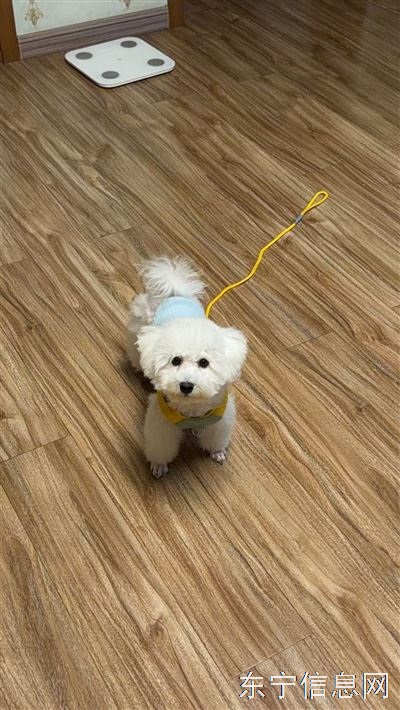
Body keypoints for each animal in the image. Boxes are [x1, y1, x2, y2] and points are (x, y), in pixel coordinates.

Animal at [127, 257, 247, 478]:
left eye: (204, 362)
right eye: (175, 360)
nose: (186, 385)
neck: (193, 410)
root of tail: (174, 293)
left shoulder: (220, 419)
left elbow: (216, 438)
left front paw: (217, 452)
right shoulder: (161, 421)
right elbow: (161, 446)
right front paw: (159, 465)